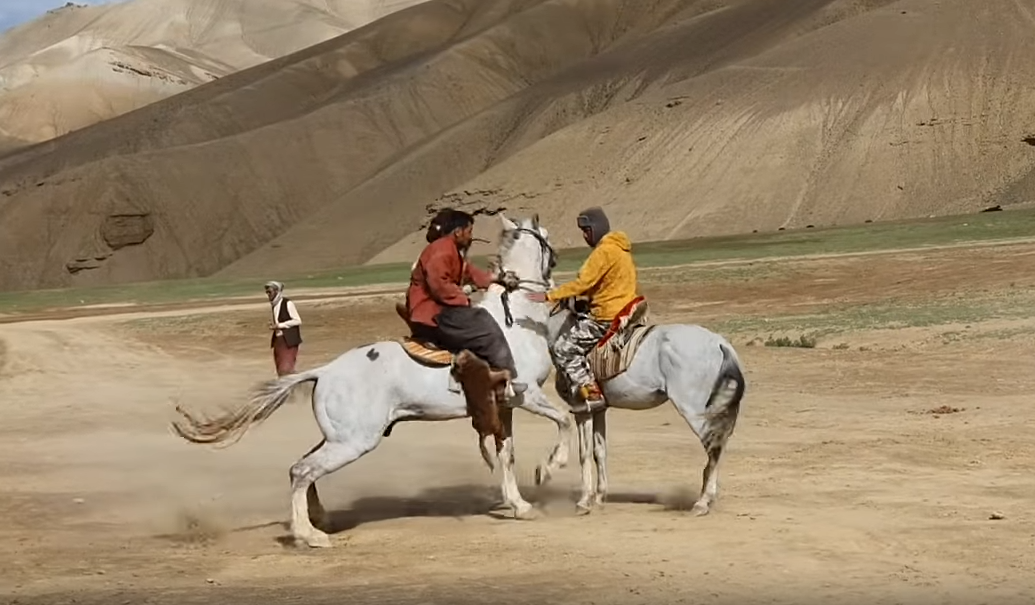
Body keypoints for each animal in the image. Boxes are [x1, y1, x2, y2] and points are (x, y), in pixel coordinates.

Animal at [172, 212, 571, 546]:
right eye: (547, 239)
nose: (555, 268)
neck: (515, 319)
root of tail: (324, 371)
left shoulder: (502, 406)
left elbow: (507, 454)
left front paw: (519, 504)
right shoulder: (525, 395)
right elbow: (563, 421)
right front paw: (550, 468)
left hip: (339, 437)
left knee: (299, 468)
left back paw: (319, 519)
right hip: (354, 441)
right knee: (302, 471)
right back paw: (309, 536)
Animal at [538, 297, 749, 515]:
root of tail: (719, 343)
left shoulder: (582, 410)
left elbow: (584, 453)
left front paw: (582, 499)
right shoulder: (599, 409)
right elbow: (599, 450)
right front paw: (599, 496)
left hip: (696, 412)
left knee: (714, 448)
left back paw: (702, 502)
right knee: (720, 446)